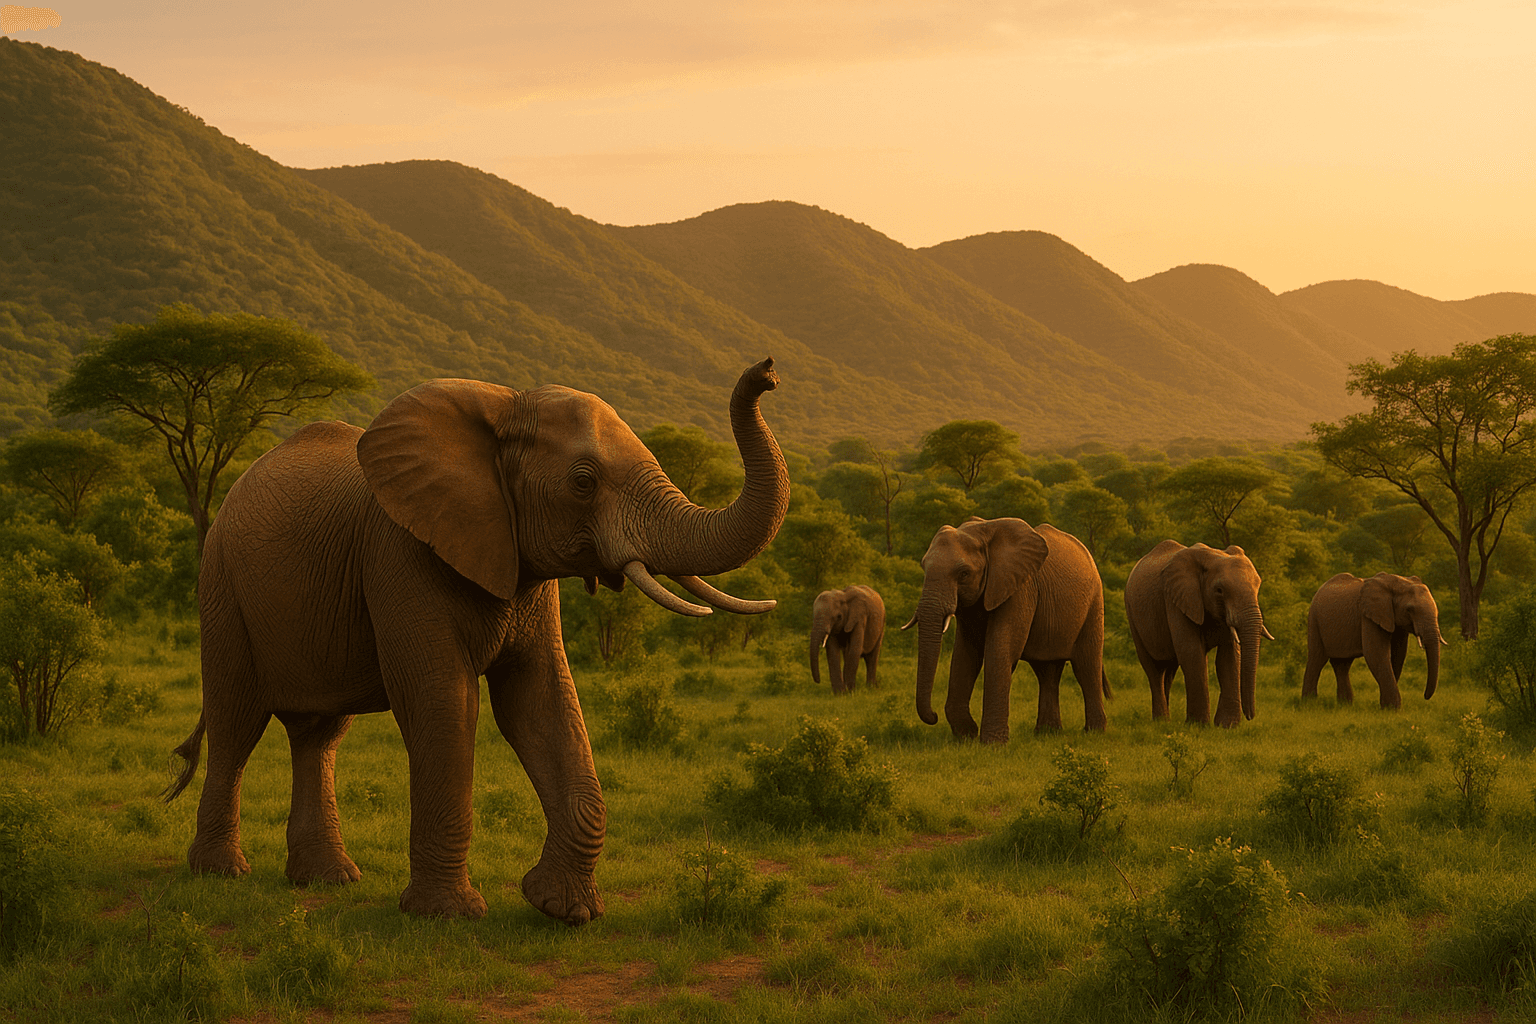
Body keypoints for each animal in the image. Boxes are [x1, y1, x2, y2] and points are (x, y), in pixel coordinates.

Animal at [164, 360, 790, 923]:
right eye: (583, 483)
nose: (767, 373)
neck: (504, 408)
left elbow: (539, 703)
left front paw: (563, 909)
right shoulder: (400, 551)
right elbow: (444, 704)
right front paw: (446, 915)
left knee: (318, 734)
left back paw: (326, 879)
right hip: (221, 586)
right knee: (238, 720)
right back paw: (221, 872)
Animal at [907, 517, 1109, 743]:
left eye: (964, 574)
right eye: (924, 568)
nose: (933, 716)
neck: (983, 534)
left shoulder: (1020, 588)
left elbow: (1000, 649)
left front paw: (991, 744)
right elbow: (966, 654)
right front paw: (966, 736)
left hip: (1094, 602)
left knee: (1086, 666)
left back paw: (1094, 733)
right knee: (1047, 671)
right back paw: (1047, 733)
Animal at [1124, 540, 1273, 728]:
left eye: (1258, 586)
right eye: (1219, 590)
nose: (1250, 716)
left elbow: (1229, 657)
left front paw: (1227, 726)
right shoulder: (1177, 598)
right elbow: (1191, 652)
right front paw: (1198, 725)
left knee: (1169, 671)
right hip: (1132, 613)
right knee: (1153, 670)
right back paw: (1161, 721)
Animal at [1302, 572, 1444, 708]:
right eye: (1410, 610)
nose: (1425, 696)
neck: (1397, 582)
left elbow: (1398, 656)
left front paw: (1386, 706)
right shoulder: (1368, 616)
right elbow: (1376, 654)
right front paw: (1391, 709)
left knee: (1342, 664)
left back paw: (1344, 706)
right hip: (1314, 619)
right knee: (1317, 659)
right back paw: (1309, 704)